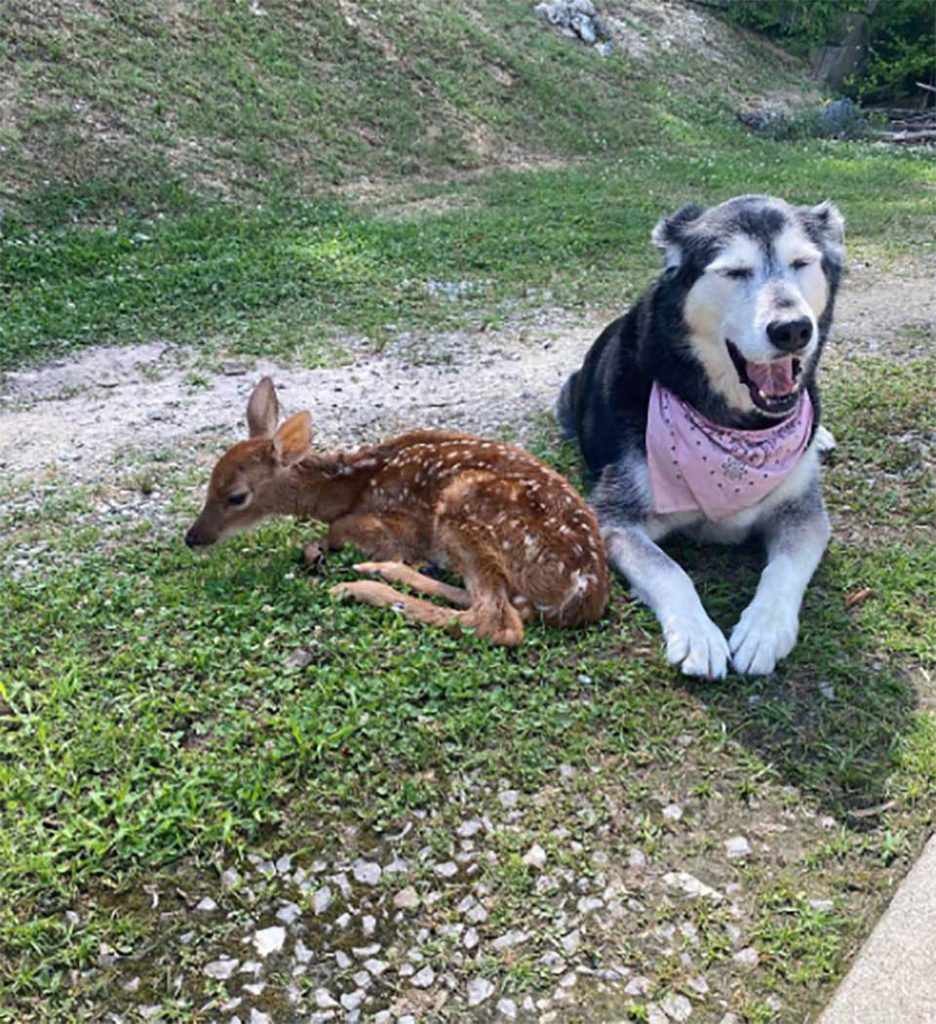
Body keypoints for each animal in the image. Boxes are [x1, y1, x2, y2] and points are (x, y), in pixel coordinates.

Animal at [557, 195, 843, 679]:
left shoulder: (804, 514)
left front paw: (763, 629)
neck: (740, 427)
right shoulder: (613, 517)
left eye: (802, 262)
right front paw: (697, 634)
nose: (792, 329)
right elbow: (669, 569)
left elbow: (783, 569)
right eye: (735, 272)